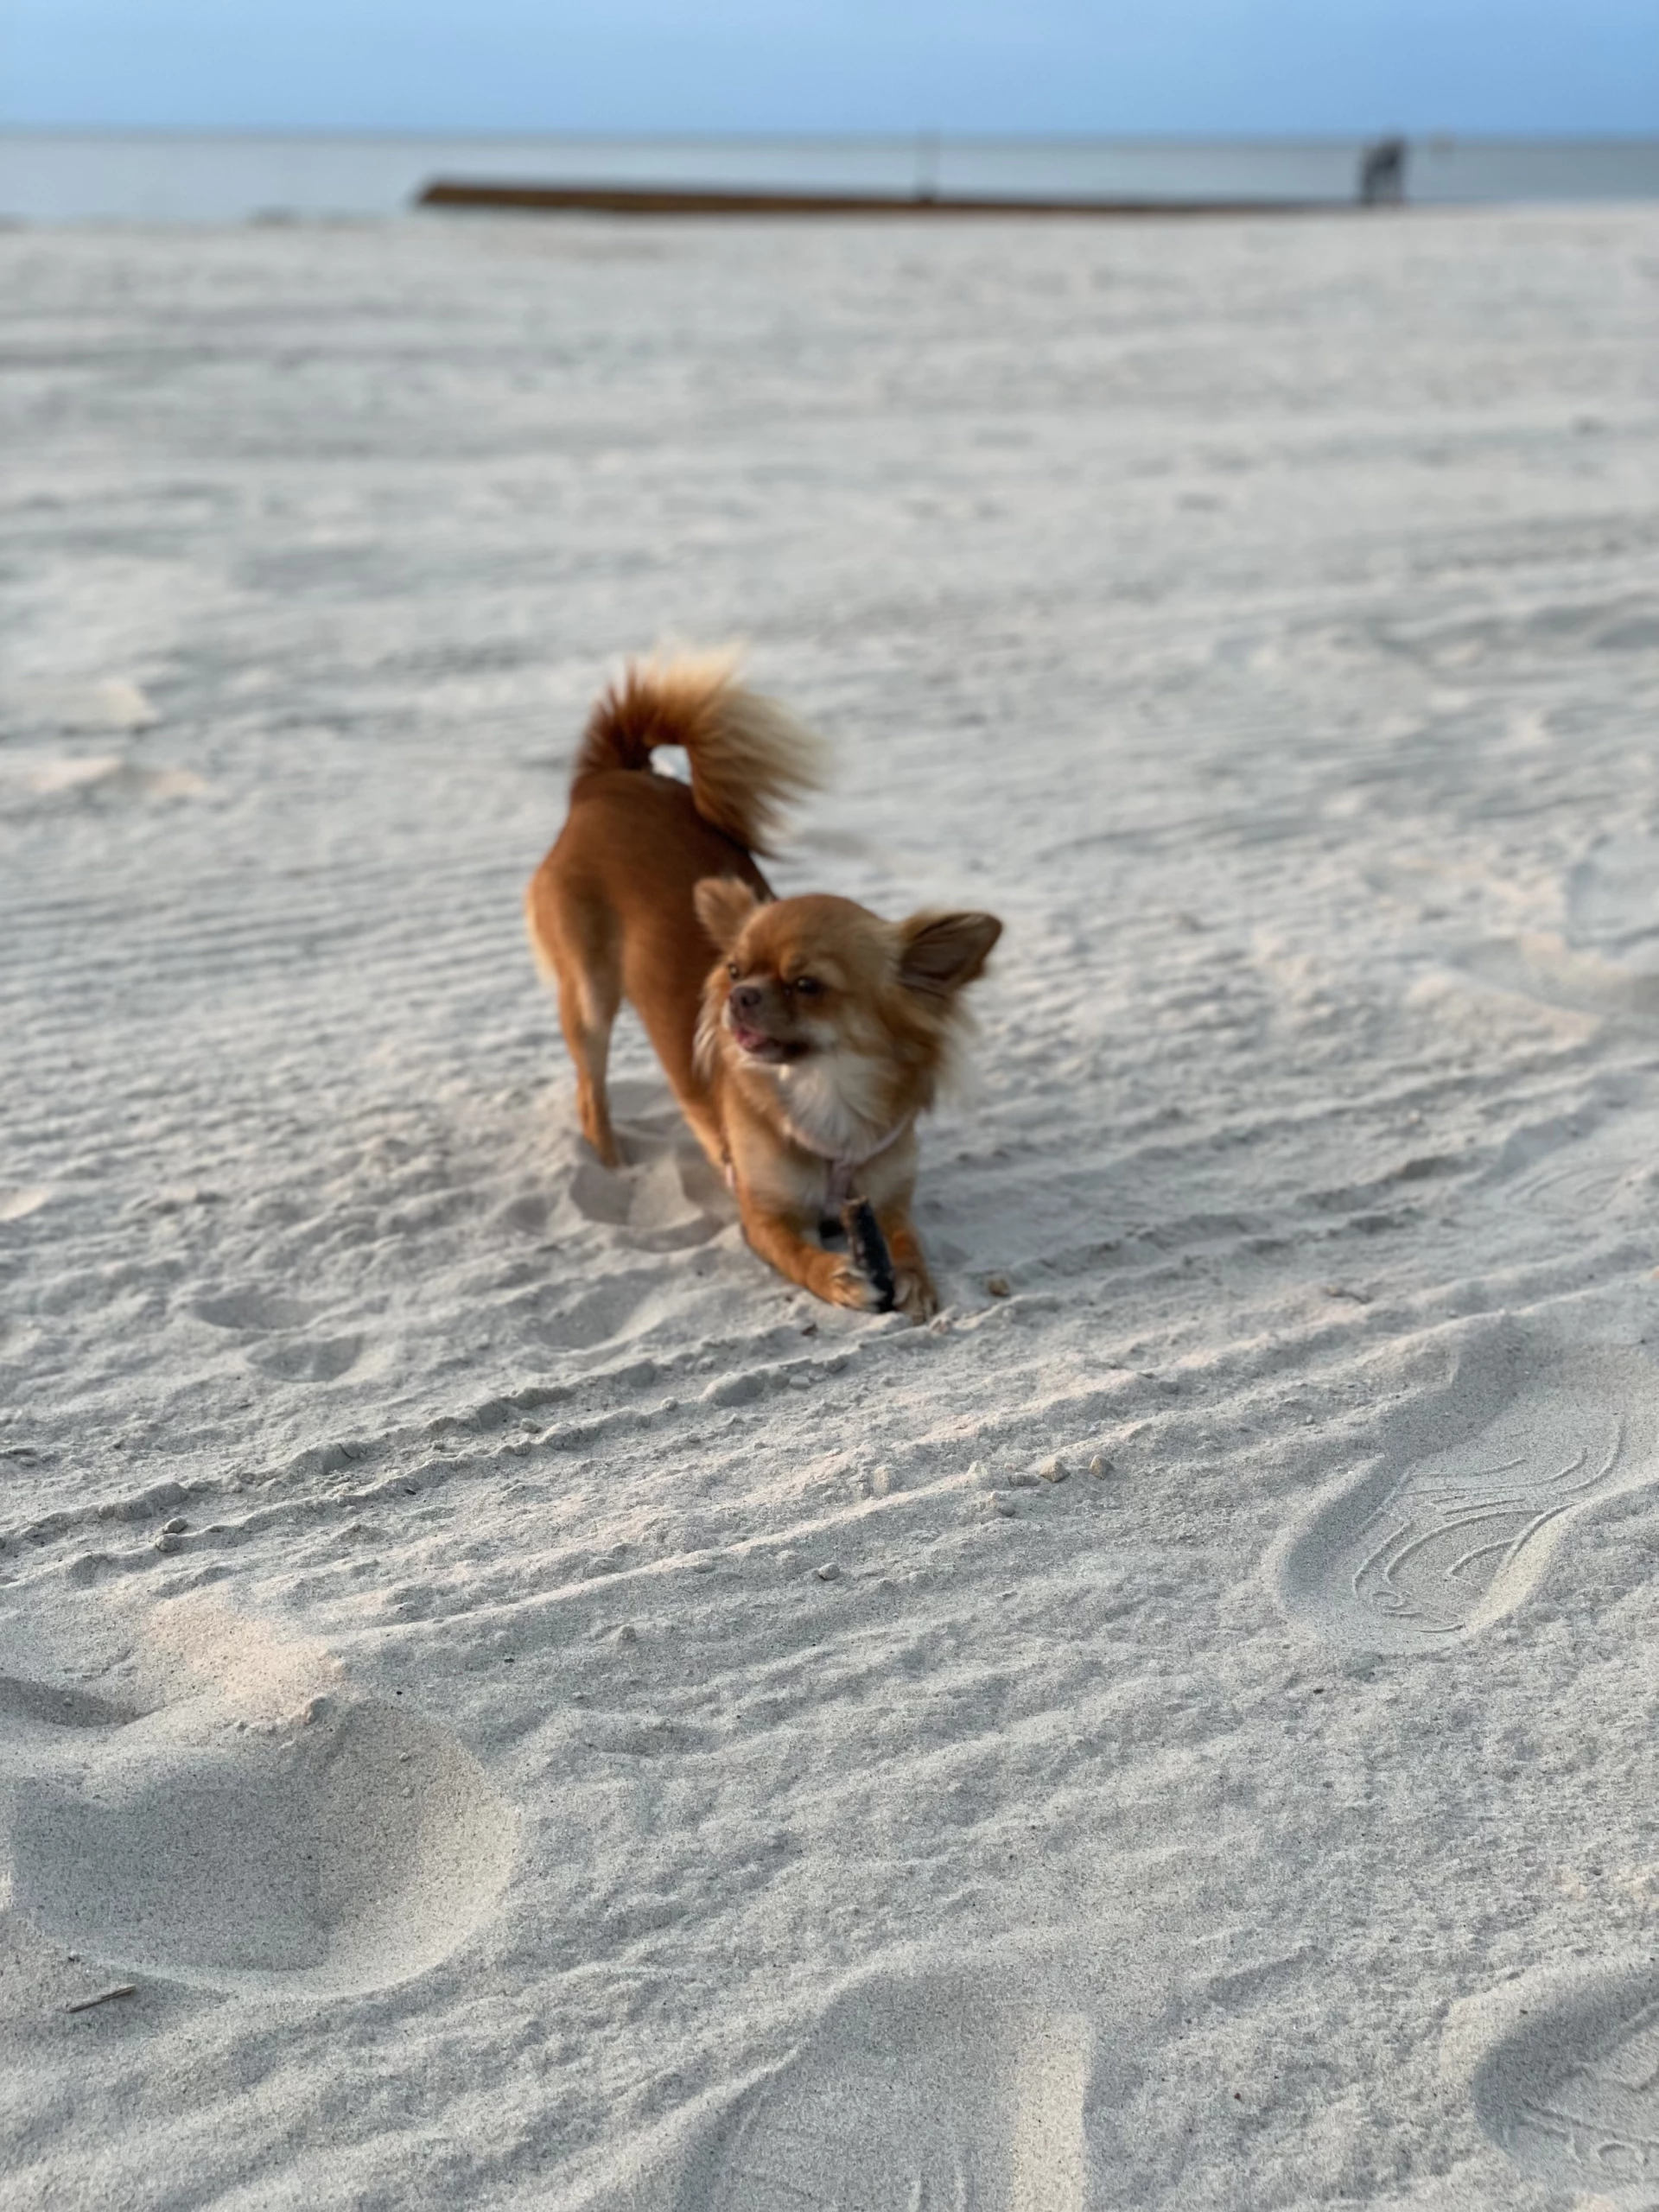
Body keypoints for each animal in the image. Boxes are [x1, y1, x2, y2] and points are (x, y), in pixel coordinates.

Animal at [532, 650, 1000, 1309]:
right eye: (733, 970)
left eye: (807, 985)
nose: (738, 996)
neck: (828, 1094)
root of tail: (611, 778)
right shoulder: (763, 1216)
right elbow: (801, 1254)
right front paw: (839, 1275)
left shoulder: (886, 1200)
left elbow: (908, 1238)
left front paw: (913, 1278)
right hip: (590, 996)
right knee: (589, 1090)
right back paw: (614, 1162)